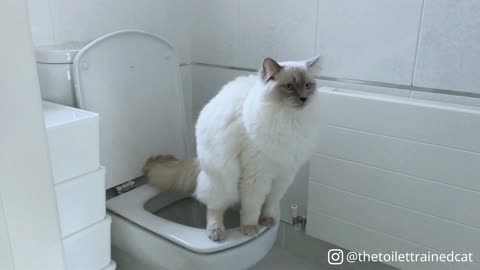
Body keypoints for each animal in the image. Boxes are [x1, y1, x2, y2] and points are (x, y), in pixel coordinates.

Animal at [144, 56, 320, 240]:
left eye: (307, 85)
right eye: (289, 86)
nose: (303, 98)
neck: (289, 122)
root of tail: (199, 162)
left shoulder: (284, 175)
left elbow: (271, 203)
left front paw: (267, 220)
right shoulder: (256, 176)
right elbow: (252, 207)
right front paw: (250, 228)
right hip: (222, 178)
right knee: (214, 208)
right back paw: (216, 232)